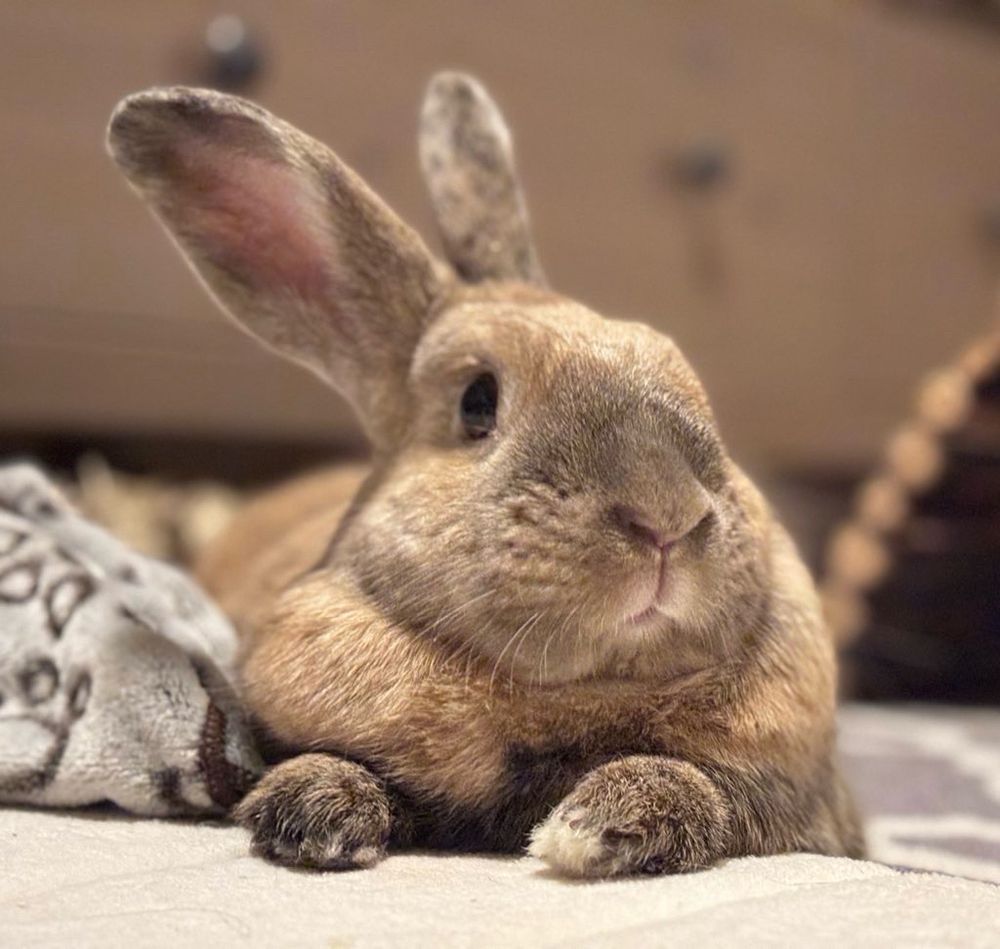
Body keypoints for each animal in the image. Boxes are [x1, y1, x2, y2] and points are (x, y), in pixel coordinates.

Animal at [106, 72, 865, 878]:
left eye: (676, 360)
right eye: (477, 401)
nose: (667, 515)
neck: (571, 693)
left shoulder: (789, 801)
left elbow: (704, 789)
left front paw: (596, 825)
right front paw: (313, 811)